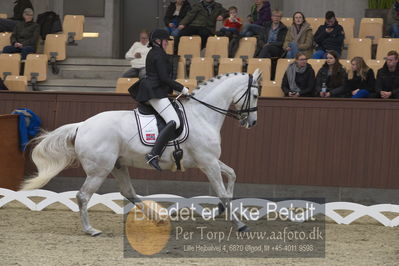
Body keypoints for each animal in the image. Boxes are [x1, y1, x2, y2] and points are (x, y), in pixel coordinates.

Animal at [20, 69, 262, 236]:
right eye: (256, 95)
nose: (251, 123)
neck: (202, 115)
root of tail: (82, 125)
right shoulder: (208, 162)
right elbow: (222, 190)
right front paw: (240, 224)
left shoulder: (210, 160)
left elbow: (232, 174)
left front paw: (220, 209)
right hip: (100, 170)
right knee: (83, 196)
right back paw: (91, 230)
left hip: (118, 165)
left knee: (129, 192)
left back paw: (157, 218)